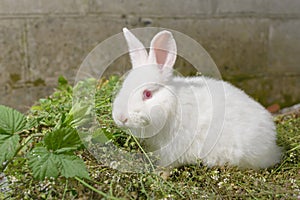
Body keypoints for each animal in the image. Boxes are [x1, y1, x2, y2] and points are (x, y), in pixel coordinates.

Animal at [112, 27, 282, 169]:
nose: (121, 117)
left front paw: (160, 174)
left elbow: (167, 165)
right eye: (124, 86)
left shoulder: (173, 149)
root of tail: (273, 146)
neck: (172, 105)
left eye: (147, 94)